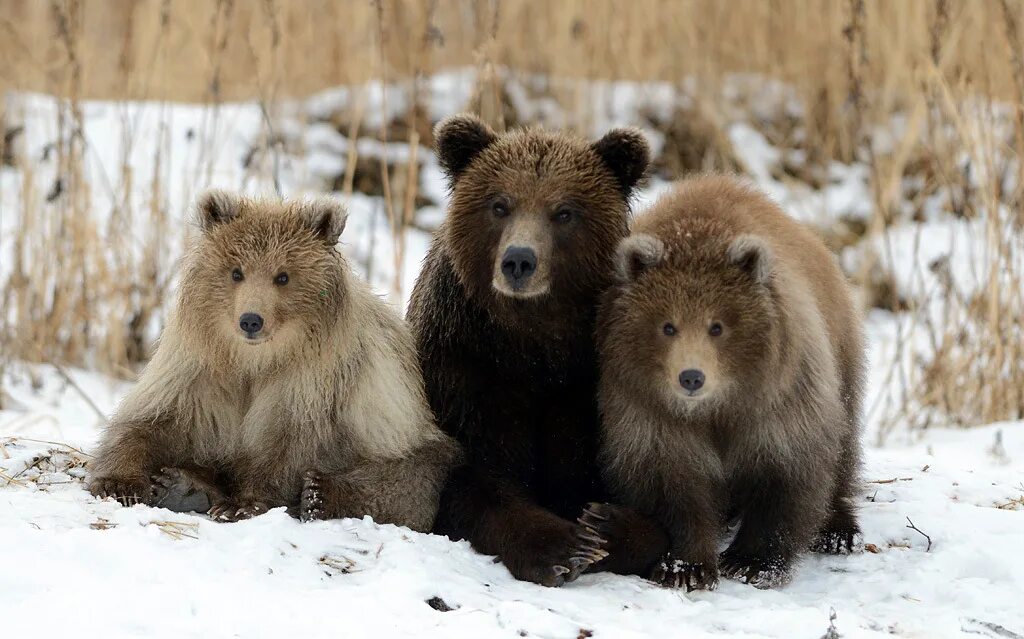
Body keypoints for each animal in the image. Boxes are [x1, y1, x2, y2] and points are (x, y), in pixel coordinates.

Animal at [409, 113, 671, 585]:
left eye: (564, 212)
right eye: (500, 205)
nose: (518, 260)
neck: (532, 344)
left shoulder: (586, 386)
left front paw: (605, 525)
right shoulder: (465, 367)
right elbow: (475, 479)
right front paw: (565, 547)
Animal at [593, 175, 864, 589]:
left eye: (716, 326)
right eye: (668, 325)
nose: (691, 376)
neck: (718, 407)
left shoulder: (777, 402)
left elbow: (784, 472)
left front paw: (752, 561)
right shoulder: (649, 411)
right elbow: (672, 482)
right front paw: (684, 566)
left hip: (839, 353)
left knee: (844, 445)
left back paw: (838, 529)